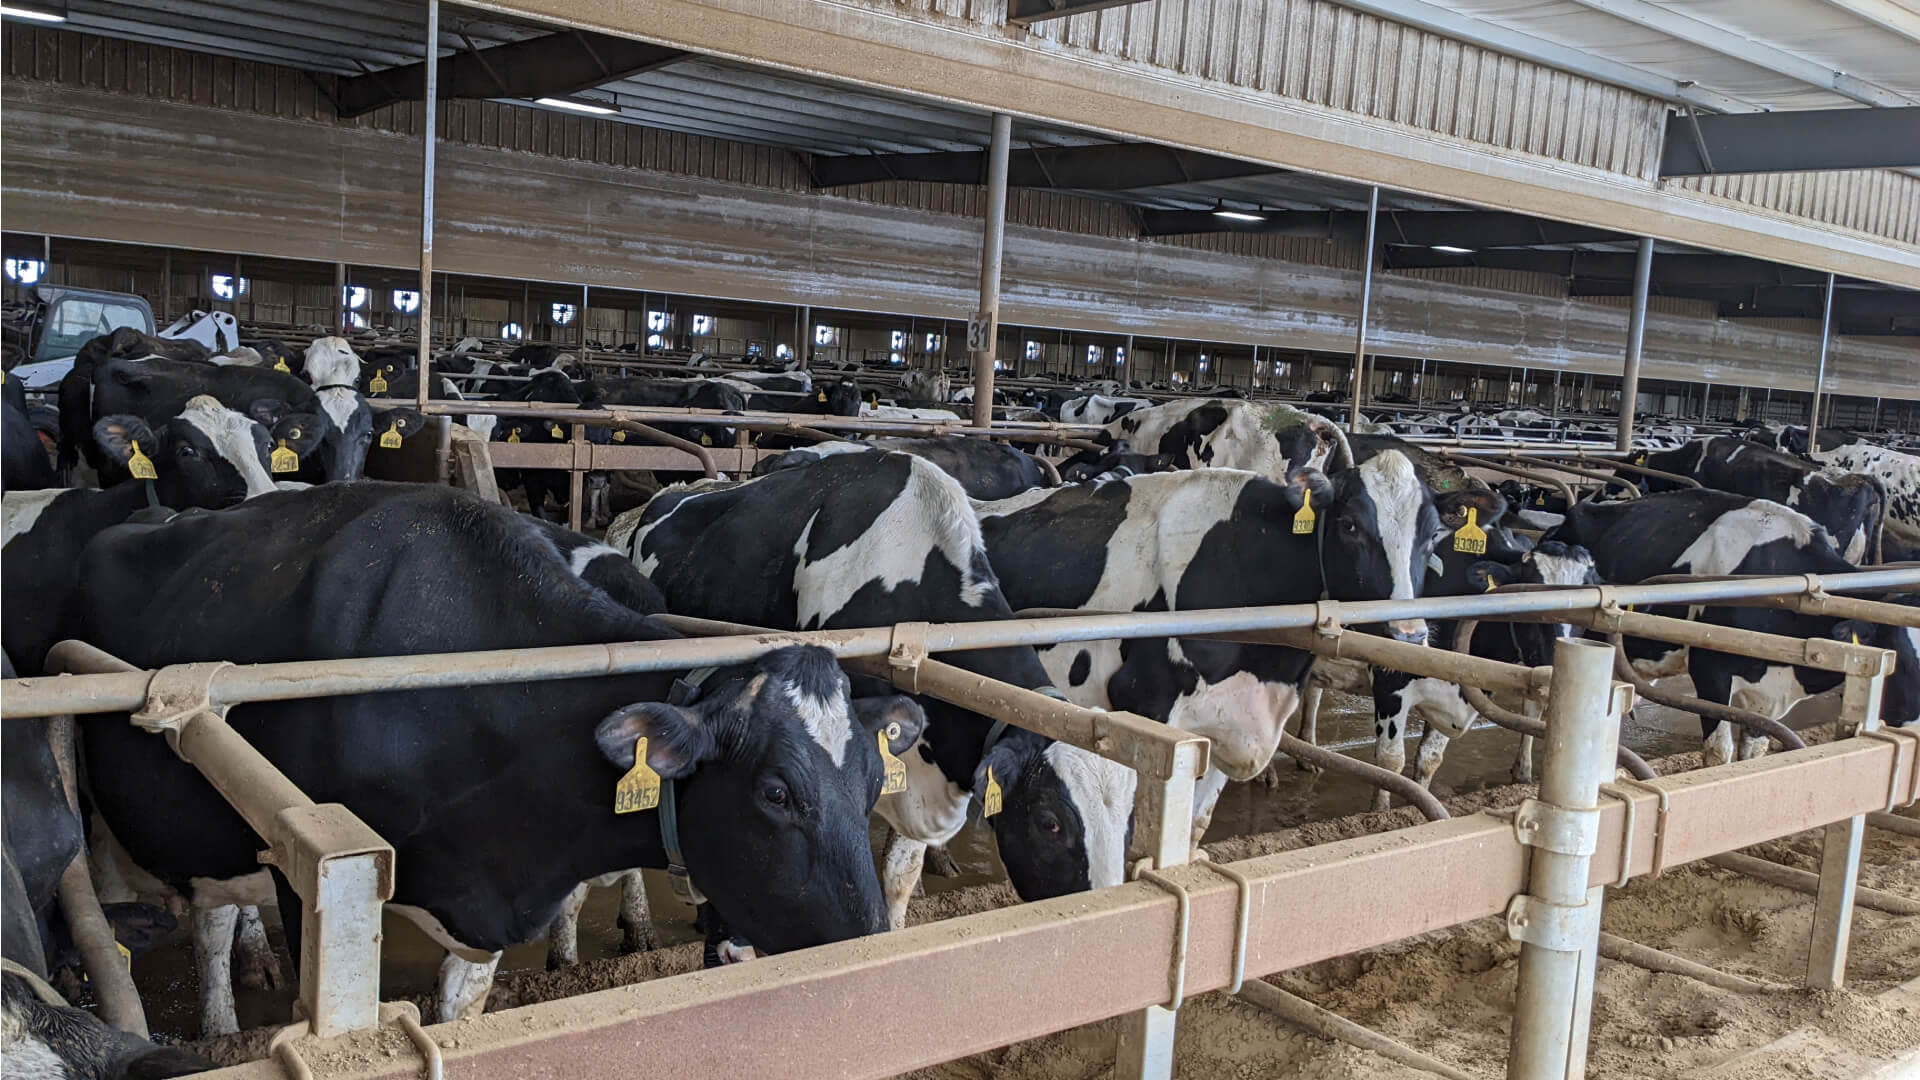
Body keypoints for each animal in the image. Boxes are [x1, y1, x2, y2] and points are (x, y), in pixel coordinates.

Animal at [74, 482, 925, 1029]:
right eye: (777, 794)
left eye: (872, 783)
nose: (876, 949)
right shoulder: (306, 879)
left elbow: (462, 1016)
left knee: (214, 916)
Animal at [976, 448, 1445, 847]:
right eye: (1350, 525)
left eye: (1432, 535)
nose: (1408, 635)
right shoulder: (1145, 708)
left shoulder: (1232, 726)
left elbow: (1195, 826)